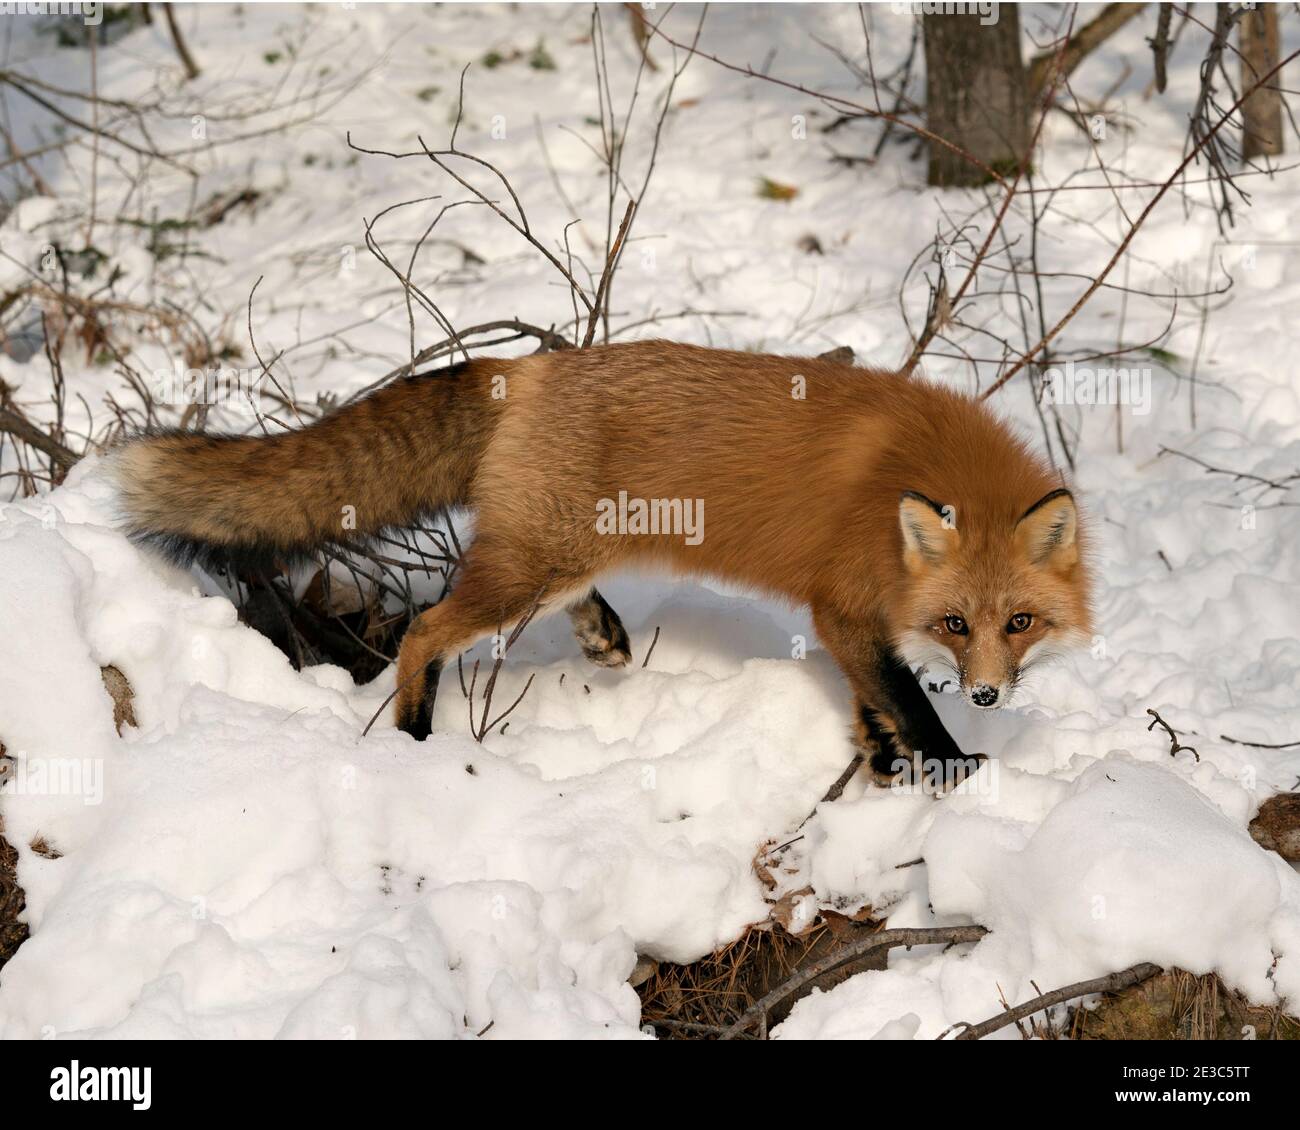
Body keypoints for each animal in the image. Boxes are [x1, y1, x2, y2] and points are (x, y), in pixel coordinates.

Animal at [111, 340, 1092, 790]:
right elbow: (903, 696)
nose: (988, 695)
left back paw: (602, 632)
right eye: (956, 624)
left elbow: (873, 697)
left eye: (1019, 623)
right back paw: (415, 738)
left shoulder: (846, 618)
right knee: (422, 632)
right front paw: (955, 769)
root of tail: (530, 365)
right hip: (523, 571)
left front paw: (885, 763)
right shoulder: (845, 606)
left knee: (556, 601)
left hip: (555, 558)